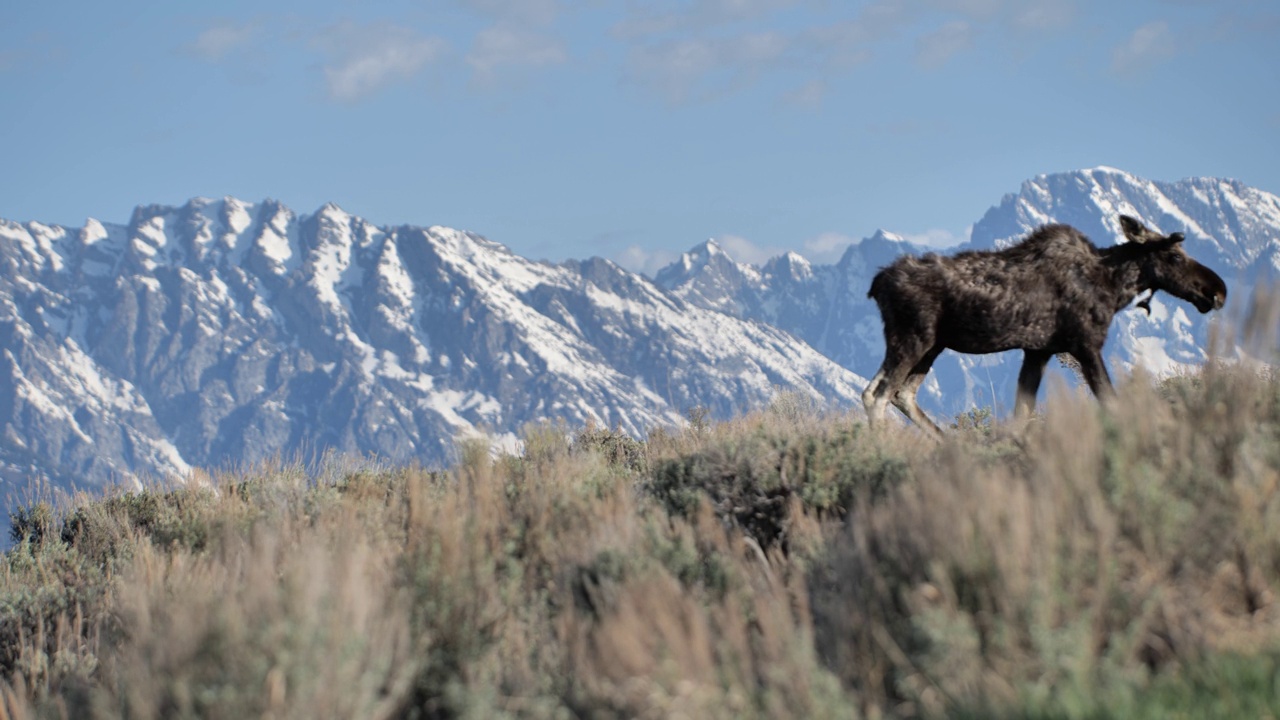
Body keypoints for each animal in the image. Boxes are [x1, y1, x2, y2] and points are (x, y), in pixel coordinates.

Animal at [860, 212, 1228, 435]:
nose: (1217, 290)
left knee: (899, 394)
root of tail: (877, 284)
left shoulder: (1038, 350)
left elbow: (1022, 413)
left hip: (931, 345)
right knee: (877, 394)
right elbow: (1110, 400)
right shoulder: (1086, 343)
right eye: (1175, 256)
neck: (1112, 287)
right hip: (912, 338)